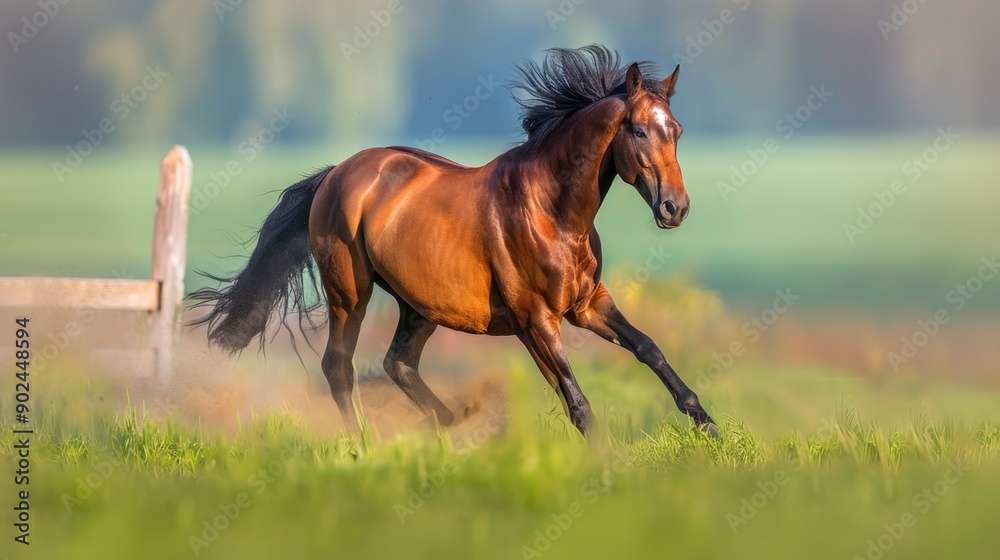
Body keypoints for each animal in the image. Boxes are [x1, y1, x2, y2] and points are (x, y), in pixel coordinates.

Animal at [189, 45, 718, 437]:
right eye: (639, 130)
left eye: (677, 131)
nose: (675, 208)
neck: (554, 214)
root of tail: (336, 174)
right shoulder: (536, 321)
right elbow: (576, 399)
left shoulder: (587, 304)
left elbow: (648, 348)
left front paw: (708, 425)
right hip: (349, 295)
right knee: (339, 367)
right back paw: (367, 443)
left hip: (419, 305)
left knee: (398, 364)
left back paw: (453, 431)